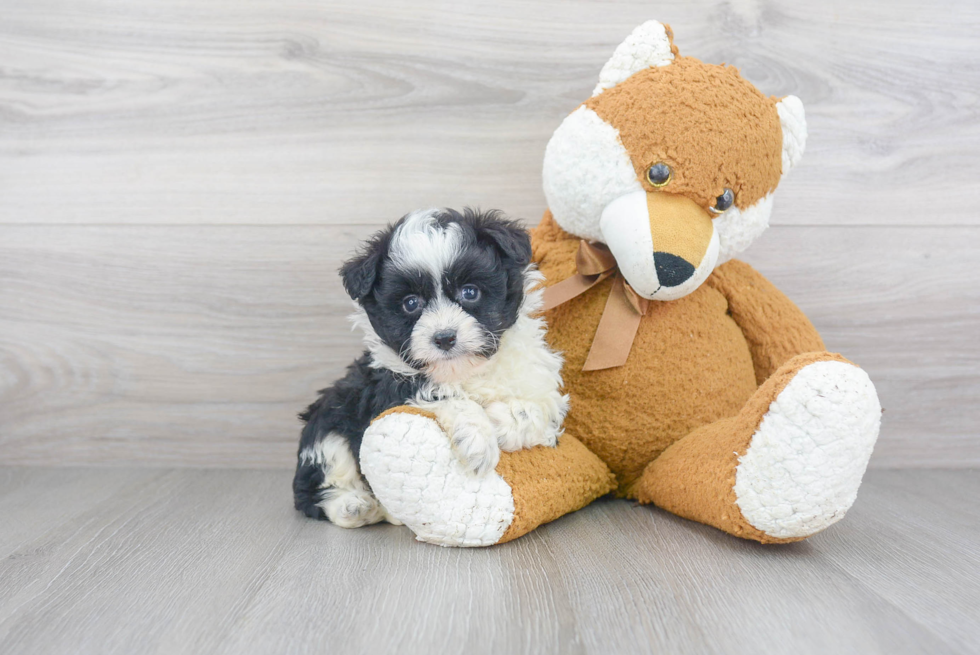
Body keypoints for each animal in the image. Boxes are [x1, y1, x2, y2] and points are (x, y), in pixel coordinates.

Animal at [290, 209, 568, 528]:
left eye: (470, 292)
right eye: (411, 303)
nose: (445, 338)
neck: (465, 371)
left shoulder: (538, 380)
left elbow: (540, 408)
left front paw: (503, 421)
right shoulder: (387, 390)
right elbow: (443, 394)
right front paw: (478, 439)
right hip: (328, 423)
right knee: (316, 484)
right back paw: (356, 506)